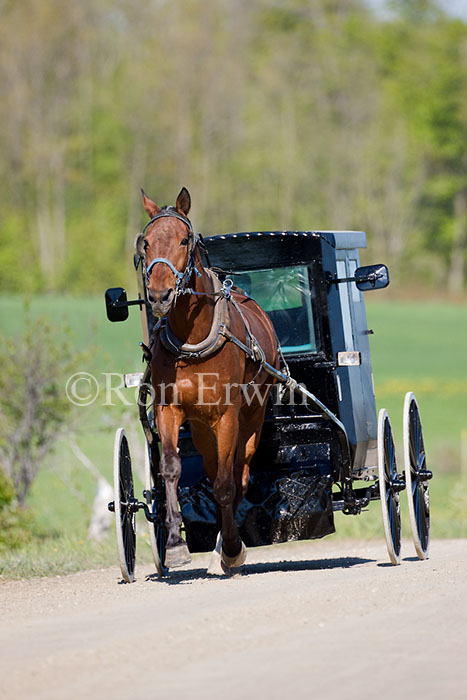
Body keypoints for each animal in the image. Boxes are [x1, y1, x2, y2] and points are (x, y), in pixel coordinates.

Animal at [135, 187, 278, 571]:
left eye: (184, 240)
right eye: (146, 243)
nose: (159, 296)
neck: (193, 339)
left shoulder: (226, 415)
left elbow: (227, 485)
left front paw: (230, 547)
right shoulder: (169, 409)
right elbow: (171, 469)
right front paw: (174, 543)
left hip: (250, 416)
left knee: (237, 472)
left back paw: (225, 549)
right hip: (201, 427)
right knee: (213, 468)